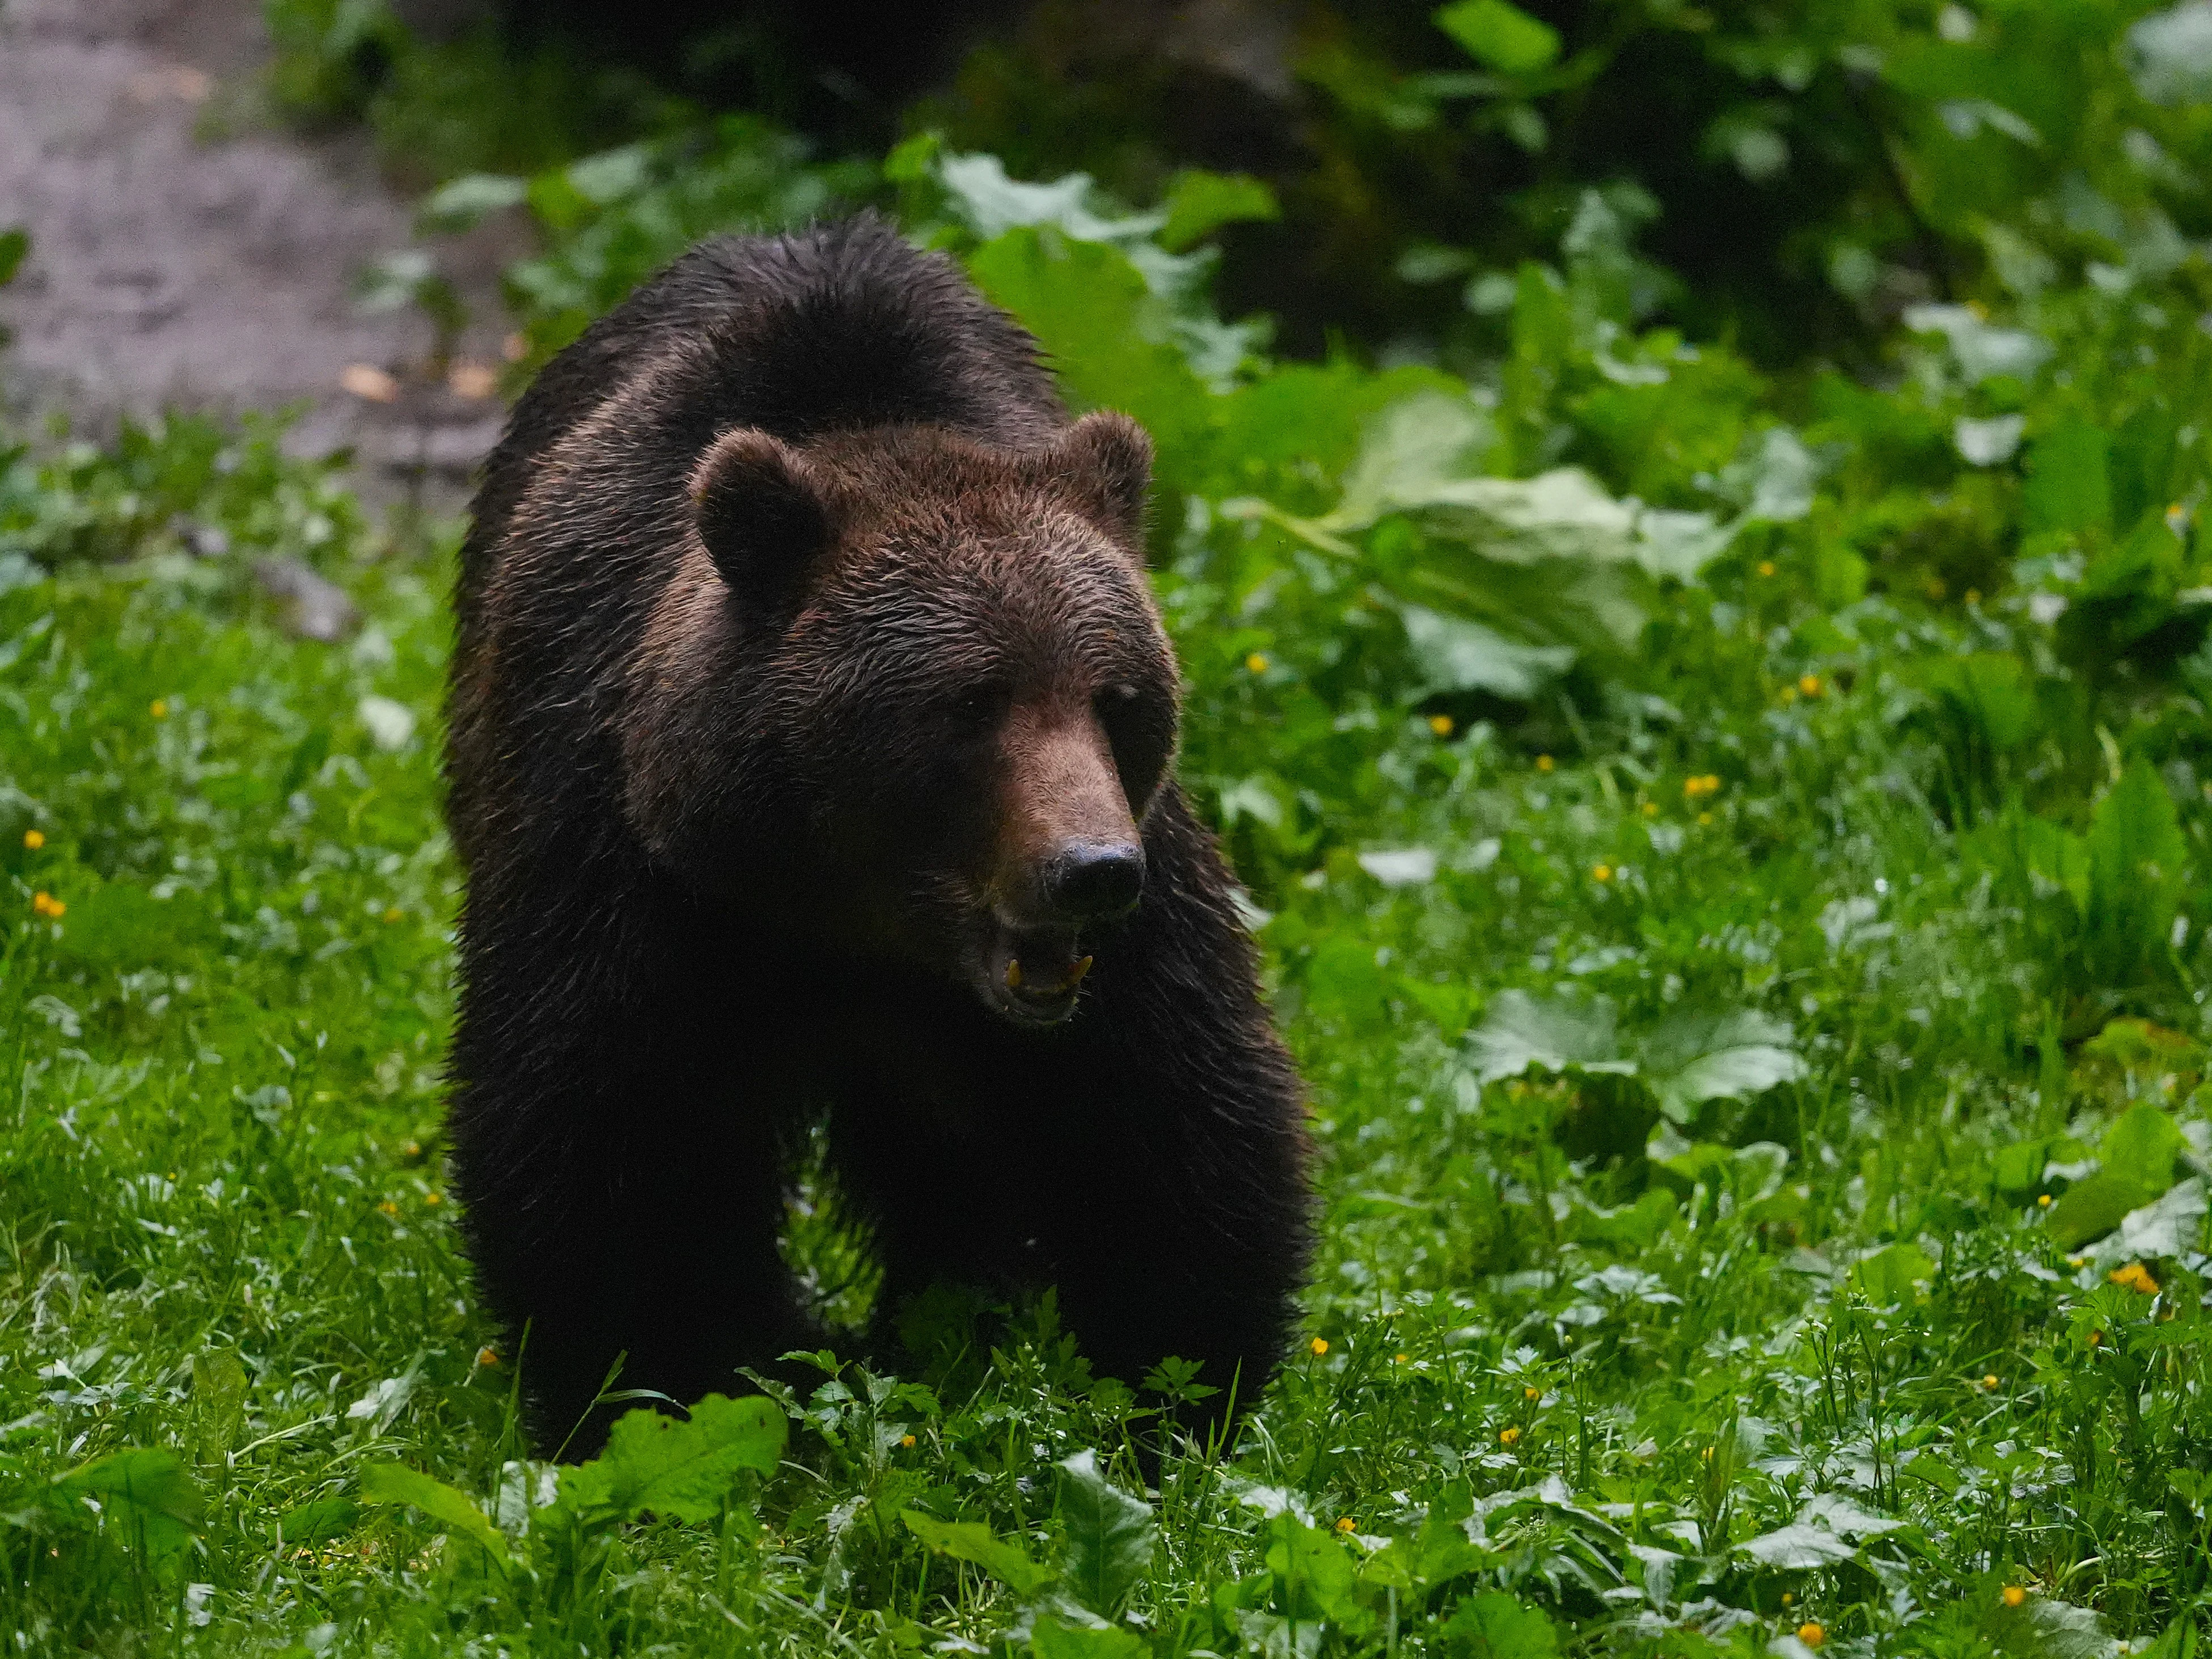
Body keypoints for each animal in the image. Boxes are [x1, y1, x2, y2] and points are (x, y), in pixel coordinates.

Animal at [443, 213, 1313, 1457]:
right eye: (971, 702)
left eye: (1116, 697)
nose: (1090, 873)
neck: (849, 920)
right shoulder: (629, 869)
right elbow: (606, 1141)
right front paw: (660, 1381)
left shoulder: (1127, 946)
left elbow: (1171, 1129)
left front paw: (1174, 1393)